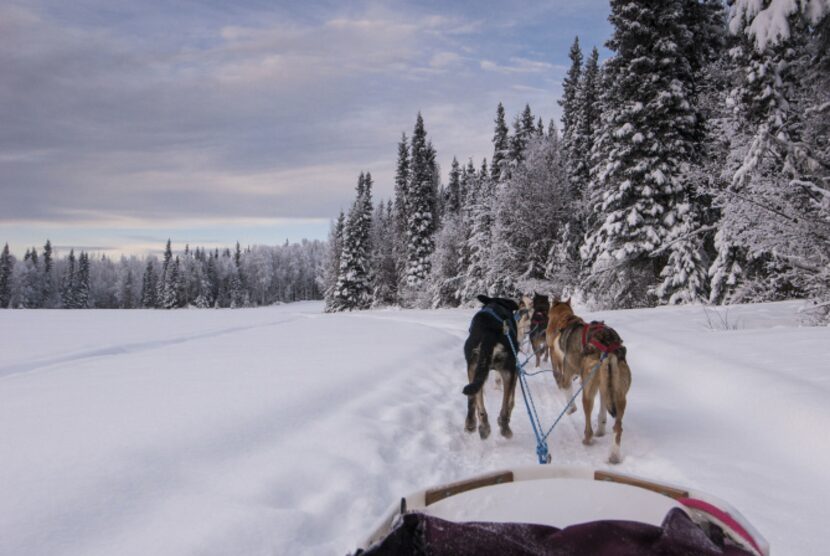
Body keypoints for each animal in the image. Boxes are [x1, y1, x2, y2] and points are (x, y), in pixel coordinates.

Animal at [462, 294, 520, 440]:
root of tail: (489, 331)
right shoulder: (515, 372)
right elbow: (511, 401)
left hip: (474, 368)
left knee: (473, 399)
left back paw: (478, 425)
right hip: (509, 371)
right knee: (505, 407)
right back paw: (504, 426)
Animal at [548, 300, 632, 464]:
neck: (569, 321)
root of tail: (607, 346)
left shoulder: (567, 374)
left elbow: (567, 391)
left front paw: (570, 409)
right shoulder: (604, 387)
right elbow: (603, 411)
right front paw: (601, 428)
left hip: (587, 391)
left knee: (588, 425)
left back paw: (587, 439)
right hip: (619, 394)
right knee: (618, 427)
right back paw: (614, 455)